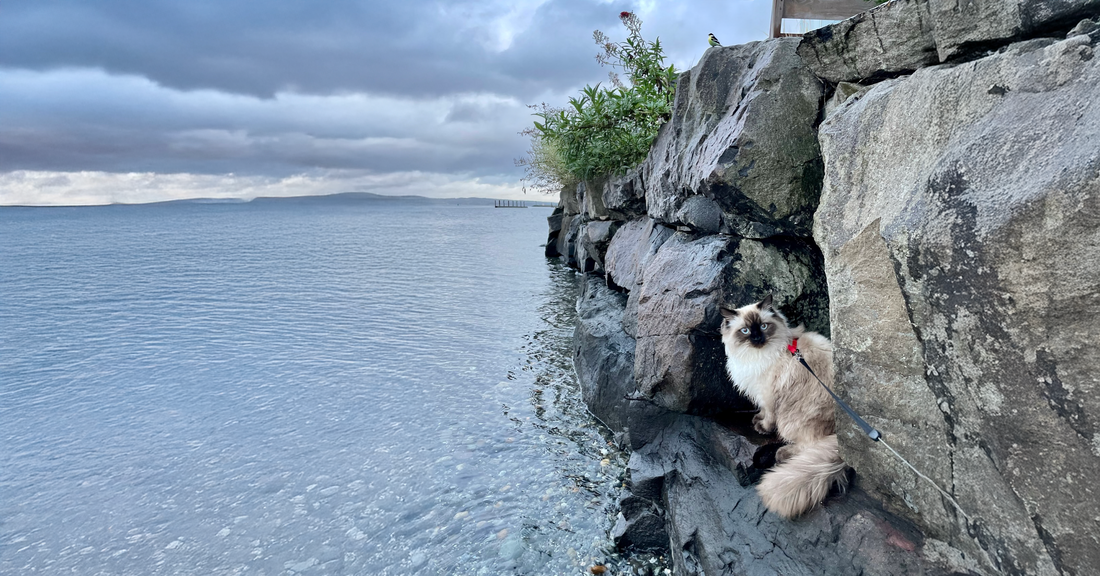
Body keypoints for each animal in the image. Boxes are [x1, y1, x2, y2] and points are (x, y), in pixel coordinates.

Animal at [721, 296, 849, 516]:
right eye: (745, 331)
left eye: (764, 326)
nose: (757, 339)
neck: (755, 356)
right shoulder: (761, 395)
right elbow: (762, 412)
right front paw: (756, 419)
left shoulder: (768, 395)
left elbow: (769, 418)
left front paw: (761, 428)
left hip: (792, 421)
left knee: (808, 445)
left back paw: (782, 454)